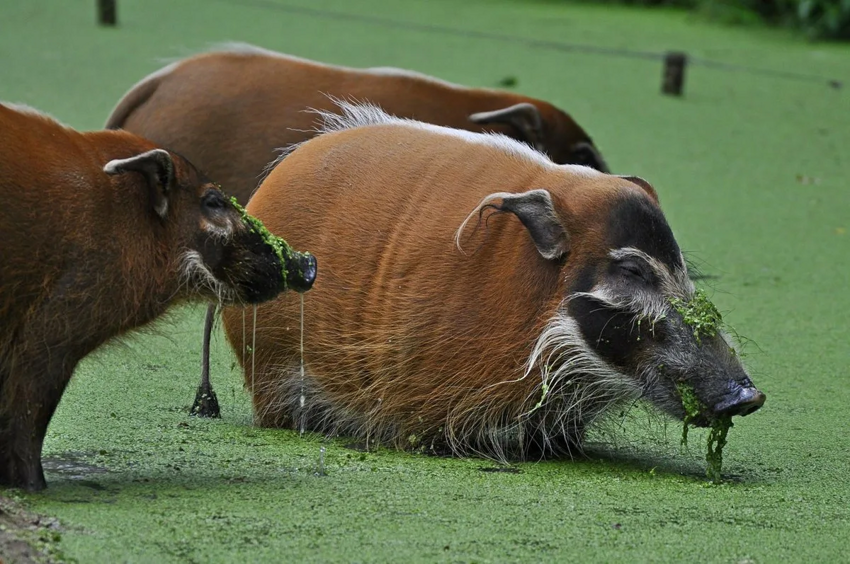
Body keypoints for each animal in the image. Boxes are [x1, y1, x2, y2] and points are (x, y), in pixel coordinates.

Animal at [0, 103, 314, 492]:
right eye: (213, 201)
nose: (308, 263)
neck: (120, 219)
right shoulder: (49, 333)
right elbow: (27, 427)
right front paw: (35, 488)